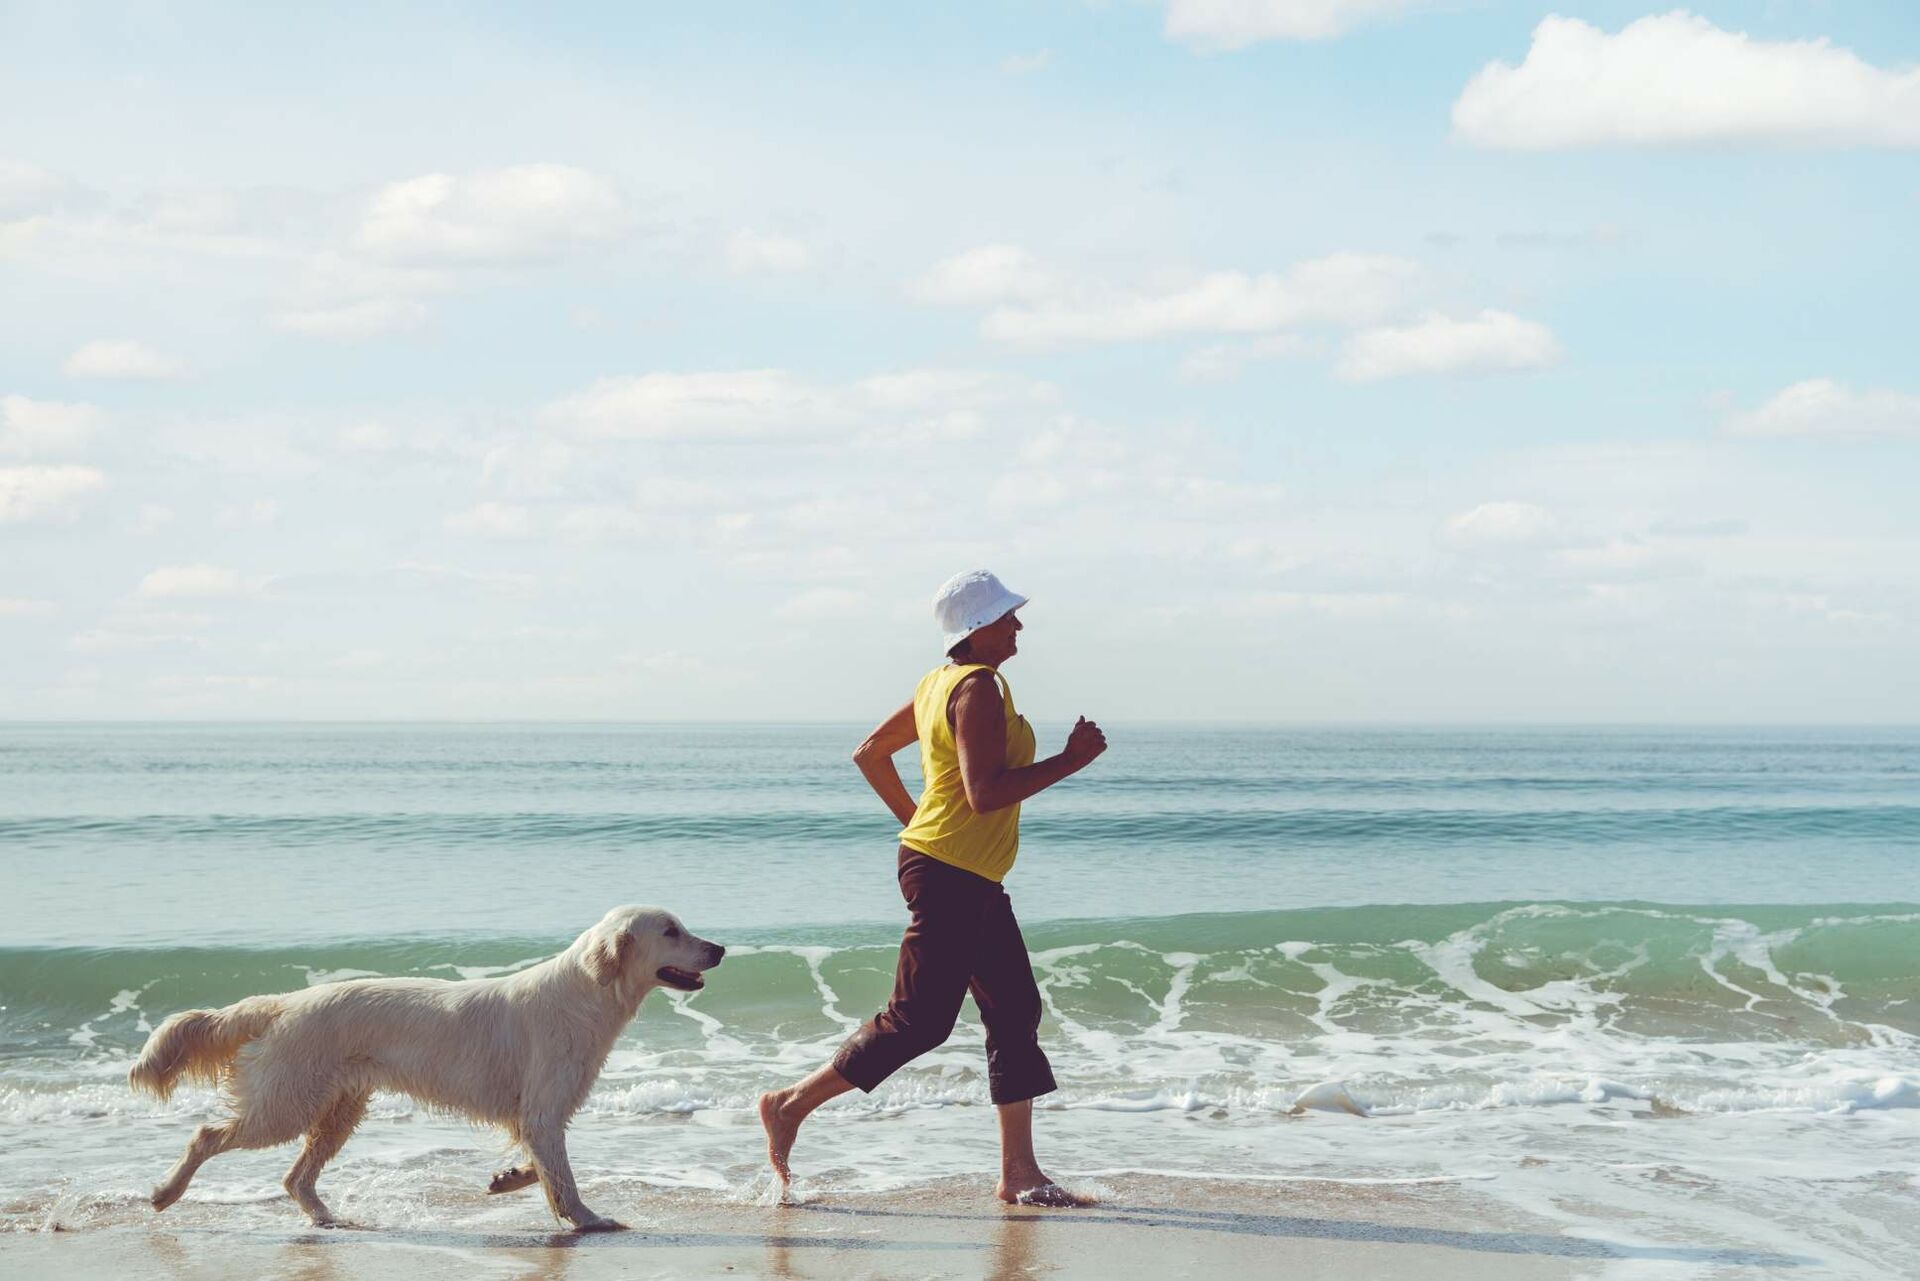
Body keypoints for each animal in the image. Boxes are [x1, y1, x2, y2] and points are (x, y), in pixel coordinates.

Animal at [129, 906, 725, 1229]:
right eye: (670, 930)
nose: (719, 947)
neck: (586, 992)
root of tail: (282, 1003)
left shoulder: (540, 1111)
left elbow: (545, 1167)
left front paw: (510, 1179)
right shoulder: (543, 1108)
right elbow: (564, 1177)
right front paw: (588, 1220)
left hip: (338, 1109)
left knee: (295, 1176)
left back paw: (326, 1217)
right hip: (285, 1104)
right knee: (207, 1136)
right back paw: (164, 1194)